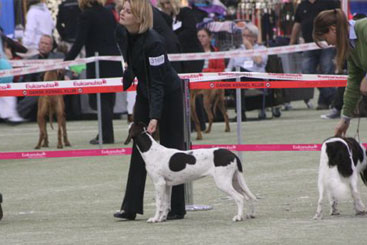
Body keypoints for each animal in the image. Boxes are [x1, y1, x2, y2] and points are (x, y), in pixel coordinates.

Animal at [125, 121, 258, 223]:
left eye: (132, 124)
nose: (129, 121)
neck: (151, 150)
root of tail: (232, 154)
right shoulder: (167, 185)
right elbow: (166, 204)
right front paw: (162, 218)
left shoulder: (159, 183)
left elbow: (159, 203)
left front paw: (155, 219)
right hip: (235, 180)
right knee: (248, 196)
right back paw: (250, 214)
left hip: (223, 182)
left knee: (240, 198)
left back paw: (238, 217)